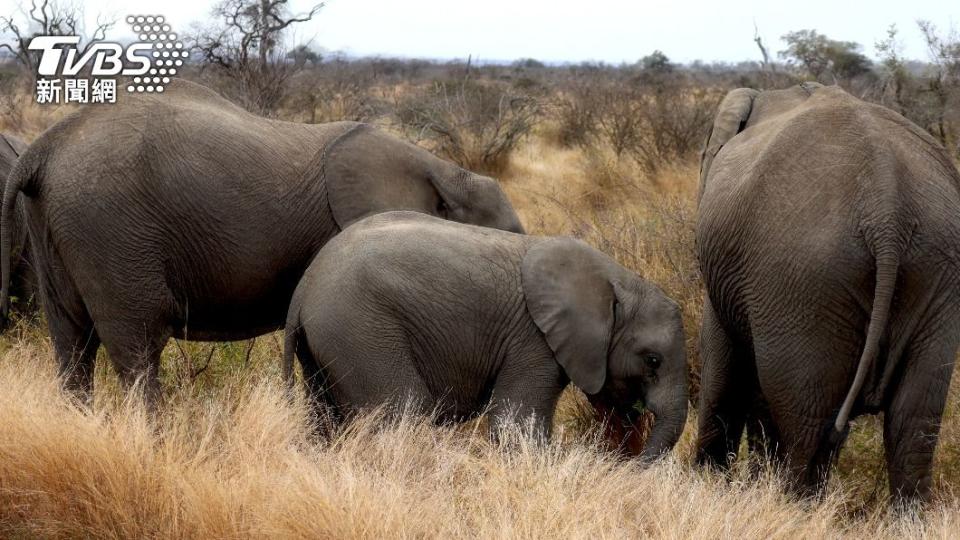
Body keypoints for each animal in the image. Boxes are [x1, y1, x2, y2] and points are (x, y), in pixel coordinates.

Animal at [1, 79, 524, 404]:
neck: (443, 172)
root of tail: (43, 147)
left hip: (59, 227)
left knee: (71, 342)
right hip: (112, 229)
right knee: (138, 346)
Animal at [282, 211, 688, 460]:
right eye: (653, 360)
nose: (628, 468)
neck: (616, 280)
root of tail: (303, 288)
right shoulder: (533, 340)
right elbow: (514, 423)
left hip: (329, 341)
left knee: (325, 416)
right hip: (360, 329)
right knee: (403, 410)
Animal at [692, 82, 960, 504]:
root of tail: (887, 210)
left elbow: (722, 363)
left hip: (803, 280)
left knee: (807, 424)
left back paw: (789, 506)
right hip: (936, 271)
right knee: (914, 422)